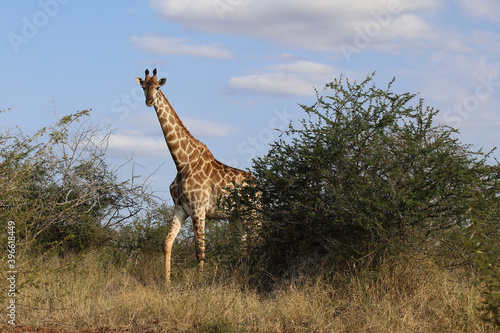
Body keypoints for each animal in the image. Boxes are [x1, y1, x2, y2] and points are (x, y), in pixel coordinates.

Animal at [137, 68, 254, 284]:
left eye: (157, 87)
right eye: (143, 87)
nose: (149, 101)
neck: (183, 163)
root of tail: (260, 187)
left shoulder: (199, 209)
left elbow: (200, 250)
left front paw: (200, 284)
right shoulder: (180, 208)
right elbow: (167, 244)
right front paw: (167, 283)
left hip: (253, 214)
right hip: (235, 217)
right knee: (242, 247)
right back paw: (238, 276)